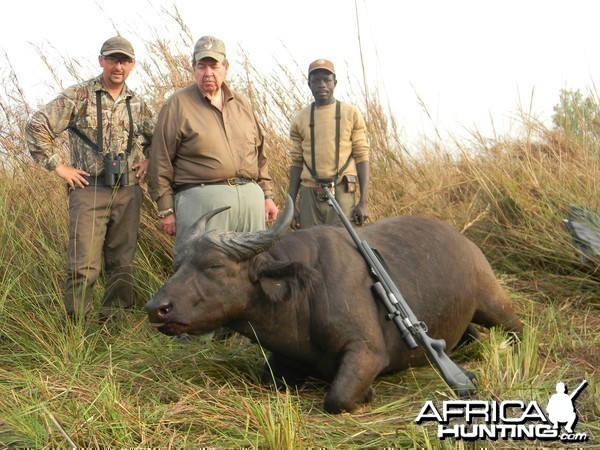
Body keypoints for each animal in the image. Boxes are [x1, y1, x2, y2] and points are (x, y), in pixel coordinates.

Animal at [148, 195, 524, 414]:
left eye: (213, 265)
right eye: (177, 265)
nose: (157, 308)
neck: (303, 297)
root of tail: (466, 243)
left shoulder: (367, 353)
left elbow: (337, 397)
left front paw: (367, 394)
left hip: (494, 303)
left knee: (517, 326)